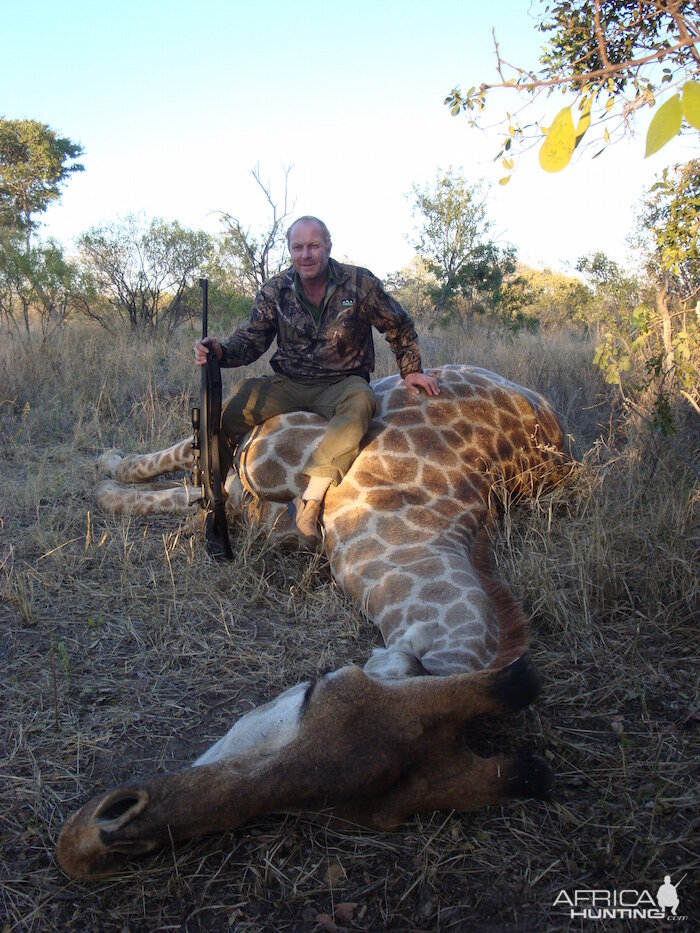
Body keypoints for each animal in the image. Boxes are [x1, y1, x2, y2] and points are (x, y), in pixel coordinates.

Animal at [54, 366, 568, 880]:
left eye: (336, 815)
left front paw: (111, 481)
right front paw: (107, 467)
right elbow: (177, 471)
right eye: (312, 691)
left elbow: (179, 492)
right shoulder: (260, 446)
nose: (85, 844)